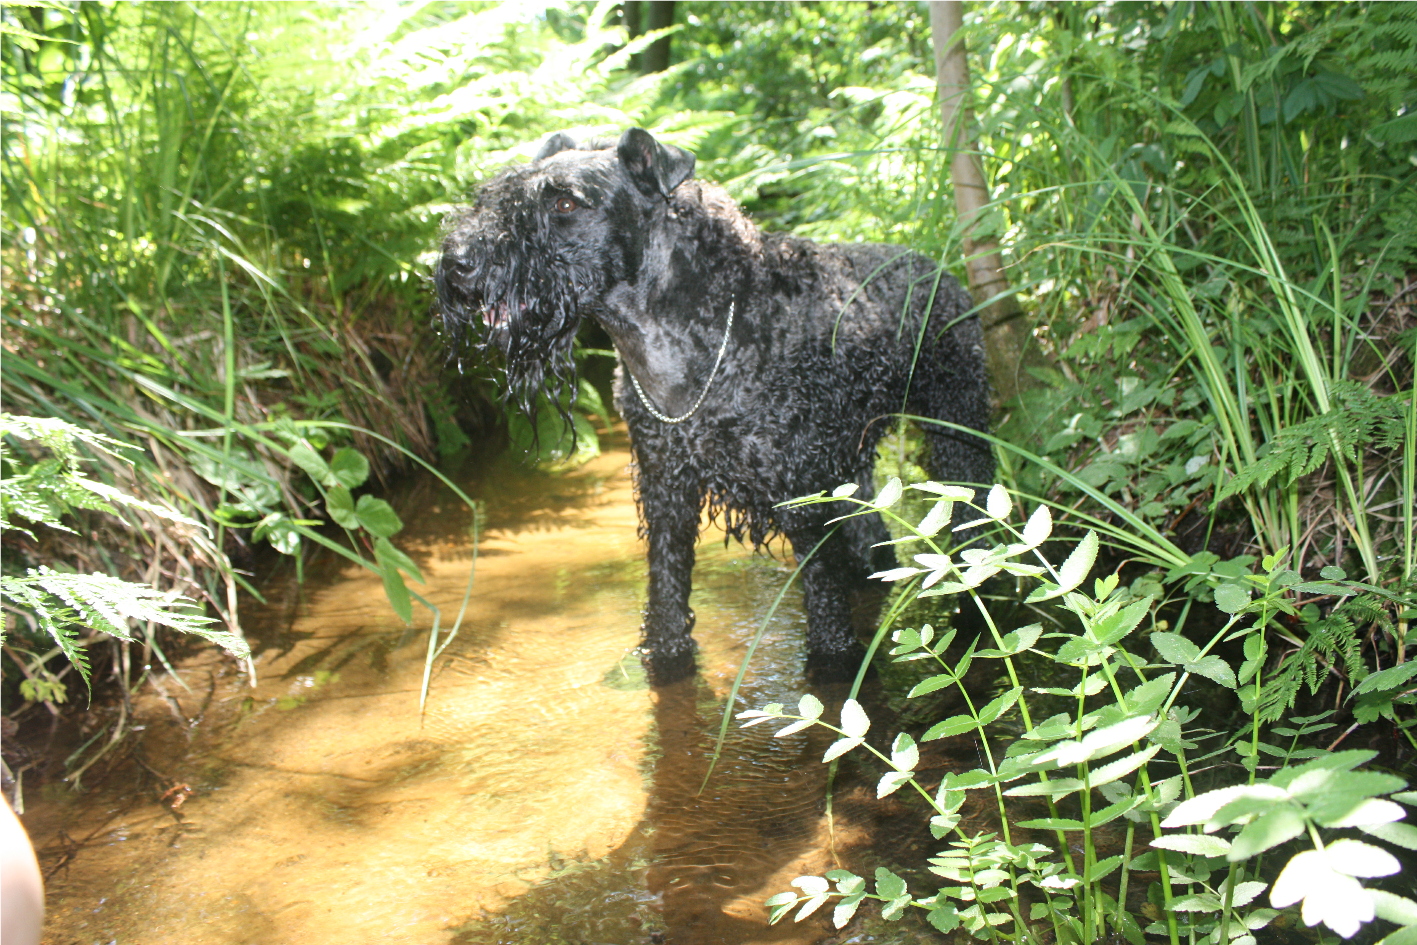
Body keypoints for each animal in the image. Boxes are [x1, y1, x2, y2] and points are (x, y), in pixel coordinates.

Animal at [436, 129, 991, 682]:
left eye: (566, 202)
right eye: (500, 192)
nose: (456, 262)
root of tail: (942, 270)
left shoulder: (798, 494)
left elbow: (823, 596)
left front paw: (835, 664)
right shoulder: (665, 490)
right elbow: (666, 590)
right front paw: (665, 659)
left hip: (957, 436)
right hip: (848, 467)